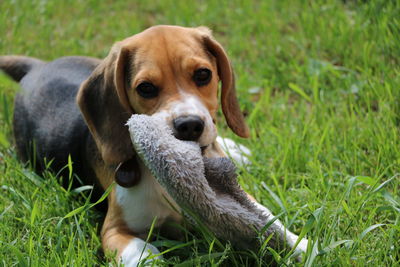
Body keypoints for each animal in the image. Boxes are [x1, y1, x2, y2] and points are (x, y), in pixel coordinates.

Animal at [0, 24, 306, 266]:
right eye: (145, 88)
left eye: (203, 75)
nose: (190, 125)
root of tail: (36, 68)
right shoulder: (113, 230)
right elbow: (142, 252)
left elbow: (266, 216)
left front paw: (298, 242)